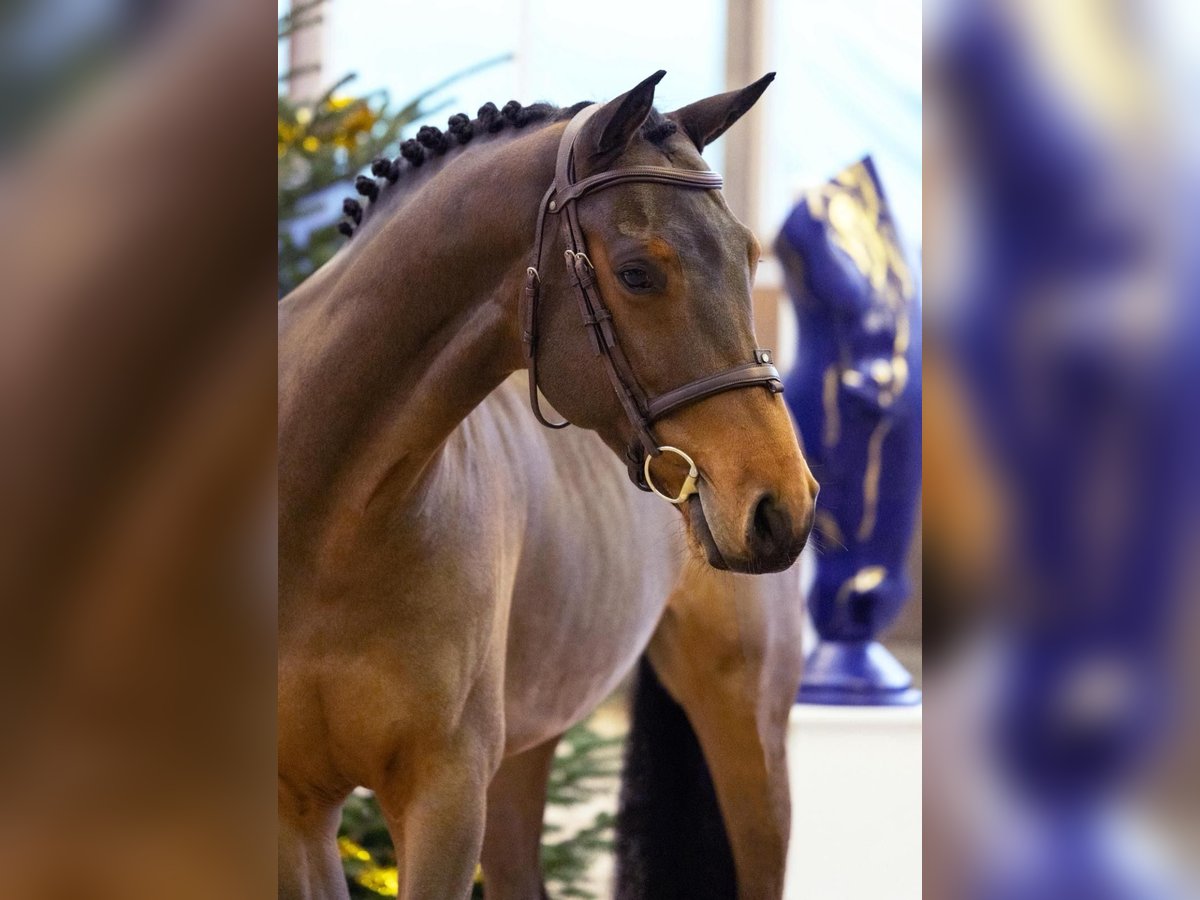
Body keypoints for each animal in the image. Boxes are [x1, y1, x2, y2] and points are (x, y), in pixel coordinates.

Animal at [278, 70, 819, 899]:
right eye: (637, 272)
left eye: (750, 254)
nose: (780, 504)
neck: (327, 523)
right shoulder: (296, 813)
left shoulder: (444, 799)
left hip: (748, 728)